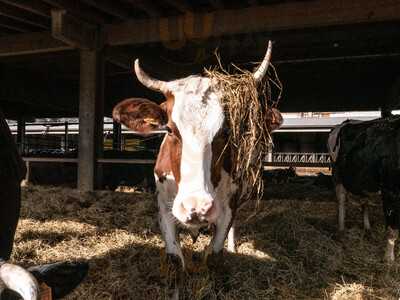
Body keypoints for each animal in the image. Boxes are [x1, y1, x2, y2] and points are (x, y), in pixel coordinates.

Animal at [326, 115, 400, 262]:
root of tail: (346, 122)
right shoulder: (390, 191)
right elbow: (392, 228)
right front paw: (388, 258)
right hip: (337, 174)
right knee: (342, 200)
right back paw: (341, 231)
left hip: (363, 180)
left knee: (364, 202)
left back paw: (367, 229)